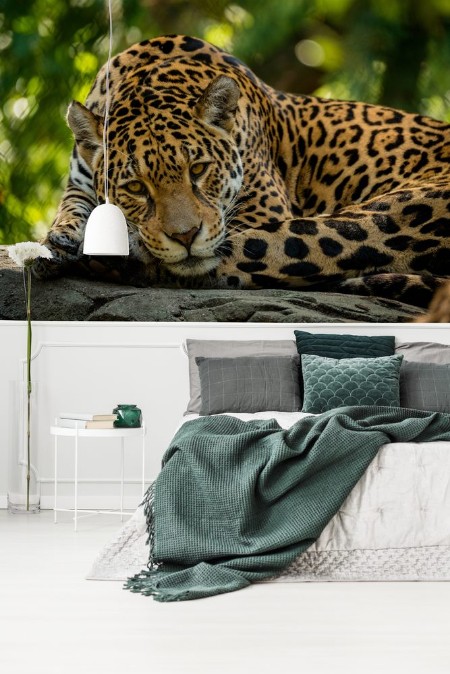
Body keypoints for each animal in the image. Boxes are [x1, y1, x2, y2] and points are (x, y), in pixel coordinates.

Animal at [33, 34, 450, 309]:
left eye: (199, 169)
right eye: (135, 187)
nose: (185, 236)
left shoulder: (264, 208)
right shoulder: (78, 179)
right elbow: (72, 206)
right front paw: (58, 239)